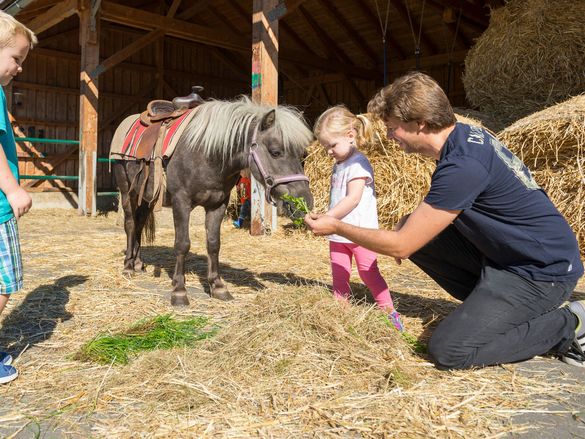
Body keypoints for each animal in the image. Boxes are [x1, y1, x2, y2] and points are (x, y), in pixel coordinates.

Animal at [113, 97, 314, 306]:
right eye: (275, 152)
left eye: (301, 153)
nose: (305, 202)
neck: (206, 154)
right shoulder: (181, 201)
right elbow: (182, 244)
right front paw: (179, 291)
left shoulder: (218, 204)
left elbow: (213, 243)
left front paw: (217, 286)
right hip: (127, 191)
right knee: (130, 224)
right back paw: (128, 266)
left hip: (147, 197)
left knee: (139, 224)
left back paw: (138, 263)